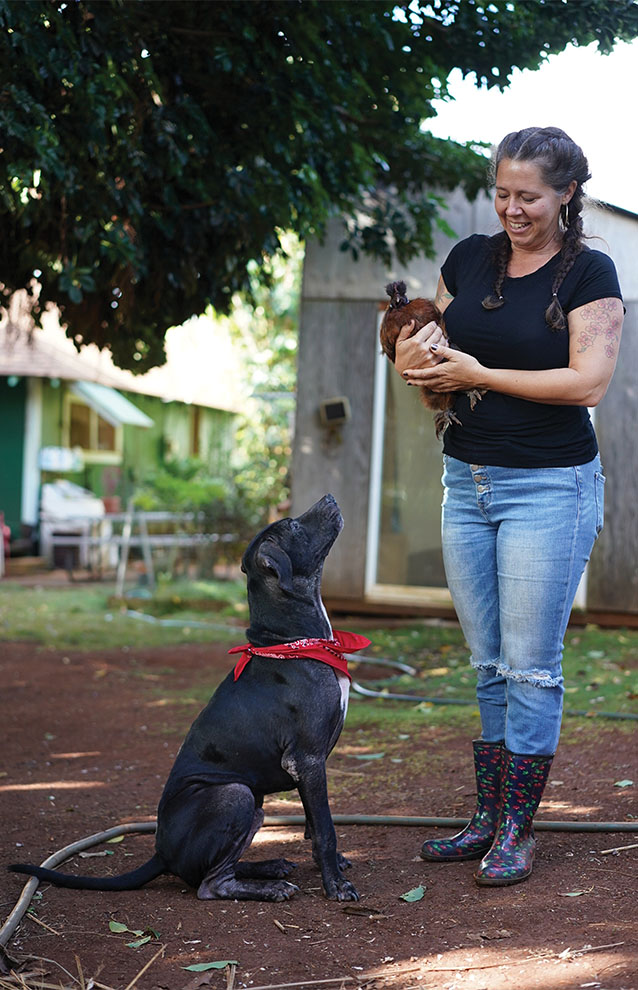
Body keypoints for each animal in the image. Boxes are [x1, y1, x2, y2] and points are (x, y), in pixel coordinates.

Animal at [11, 496, 370, 908]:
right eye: (293, 525)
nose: (330, 498)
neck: (291, 640)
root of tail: (161, 854)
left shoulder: (308, 766)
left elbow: (313, 823)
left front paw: (335, 865)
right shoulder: (307, 759)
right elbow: (325, 828)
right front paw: (336, 885)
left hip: (254, 807)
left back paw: (267, 866)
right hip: (235, 794)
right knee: (210, 884)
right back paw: (267, 886)